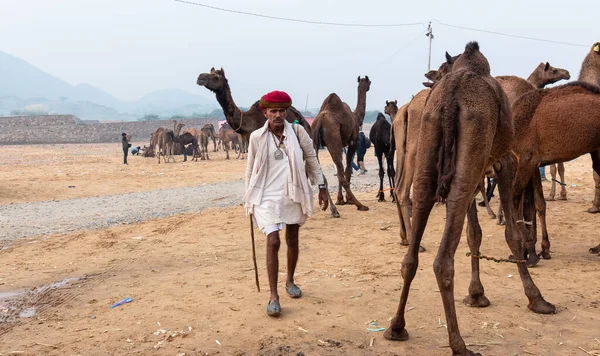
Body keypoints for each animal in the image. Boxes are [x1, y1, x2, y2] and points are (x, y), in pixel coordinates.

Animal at [196, 67, 340, 217]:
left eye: (216, 77)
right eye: (209, 73)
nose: (200, 77)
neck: (247, 122)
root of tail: (306, 122)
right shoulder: (251, 144)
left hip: (308, 142)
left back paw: (333, 209)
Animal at [312, 75, 372, 211]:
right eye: (369, 82)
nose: (369, 86)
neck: (356, 117)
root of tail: (320, 122)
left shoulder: (341, 144)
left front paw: (340, 200)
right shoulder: (353, 141)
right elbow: (347, 170)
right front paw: (347, 200)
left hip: (313, 142)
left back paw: (328, 206)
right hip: (333, 139)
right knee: (340, 174)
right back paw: (359, 205)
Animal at [384, 41, 540, 356]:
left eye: (438, 71)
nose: (430, 82)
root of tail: (451, 96)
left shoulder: (474, 168)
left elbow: (473, 233)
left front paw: (476, 294)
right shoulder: (504, 162)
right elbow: (511, 234)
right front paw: (536, 298)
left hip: (432, 145)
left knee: (418, 216)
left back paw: (396, 326)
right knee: (443, 260)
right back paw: (459, 344)